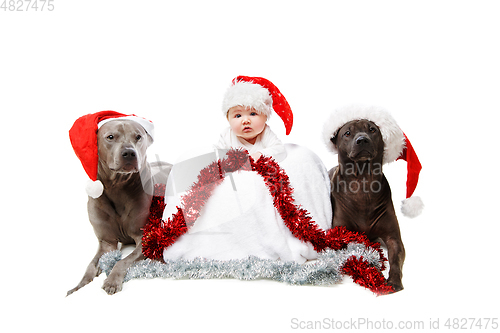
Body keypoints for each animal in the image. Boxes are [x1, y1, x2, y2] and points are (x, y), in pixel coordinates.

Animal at [67, 120, 171, 296]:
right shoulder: (106, 242)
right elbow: (90, 266)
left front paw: (112, 281)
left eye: (138, 137)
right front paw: (78, 287)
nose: (129, 153)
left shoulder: (145, 238)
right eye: (110, 137)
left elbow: (123, 261)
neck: (118, 187)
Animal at [328, 118, 406, 290]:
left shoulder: (394, 238)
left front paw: (394, 280)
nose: (362, 139)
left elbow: (395, 259)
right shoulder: (340, 234)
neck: (362, 181)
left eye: (372, 130)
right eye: (347, 133)